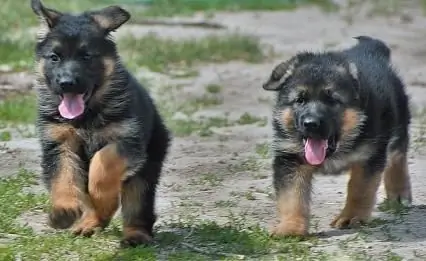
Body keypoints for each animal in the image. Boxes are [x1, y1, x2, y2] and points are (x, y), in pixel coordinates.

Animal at [30, 0, 171, 246]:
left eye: (86, 57)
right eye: (55, 57)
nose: (67, 83)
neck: (86, 117)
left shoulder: (128, 141)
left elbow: (102, 163)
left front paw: (104, 198)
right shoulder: (59, 144)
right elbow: (63, 177)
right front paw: (63, 210)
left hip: (147, 165)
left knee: (138, 205)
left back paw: (135, 235)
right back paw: (89, 222)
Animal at [262, 35, 412, 237]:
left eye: (332, 100)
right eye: (300, 100)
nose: (310, 123)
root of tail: (370, 50)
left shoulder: (369, 155)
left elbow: (360, 189)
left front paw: (351, 217)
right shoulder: (289, 158)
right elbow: (292, 196)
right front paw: (290, 226)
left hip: (397, 125)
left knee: (397, 157)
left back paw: (399, 193)